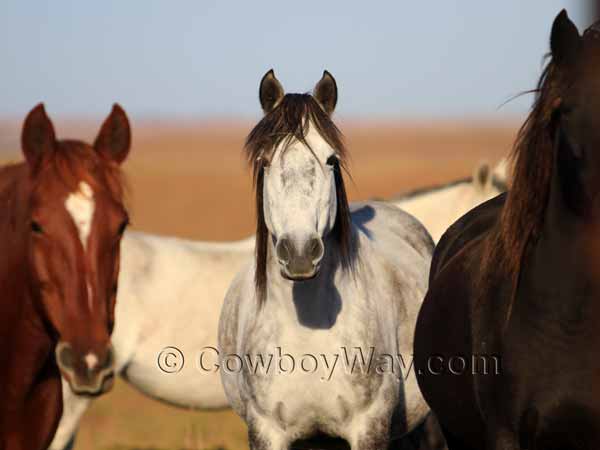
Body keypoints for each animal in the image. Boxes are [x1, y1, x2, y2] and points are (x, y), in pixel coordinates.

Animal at [218, 70, 434, 450]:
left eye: (331, 160)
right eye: (264, 161)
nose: (300, 252)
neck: (308, 330)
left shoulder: (368, 428)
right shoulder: (266, 431)